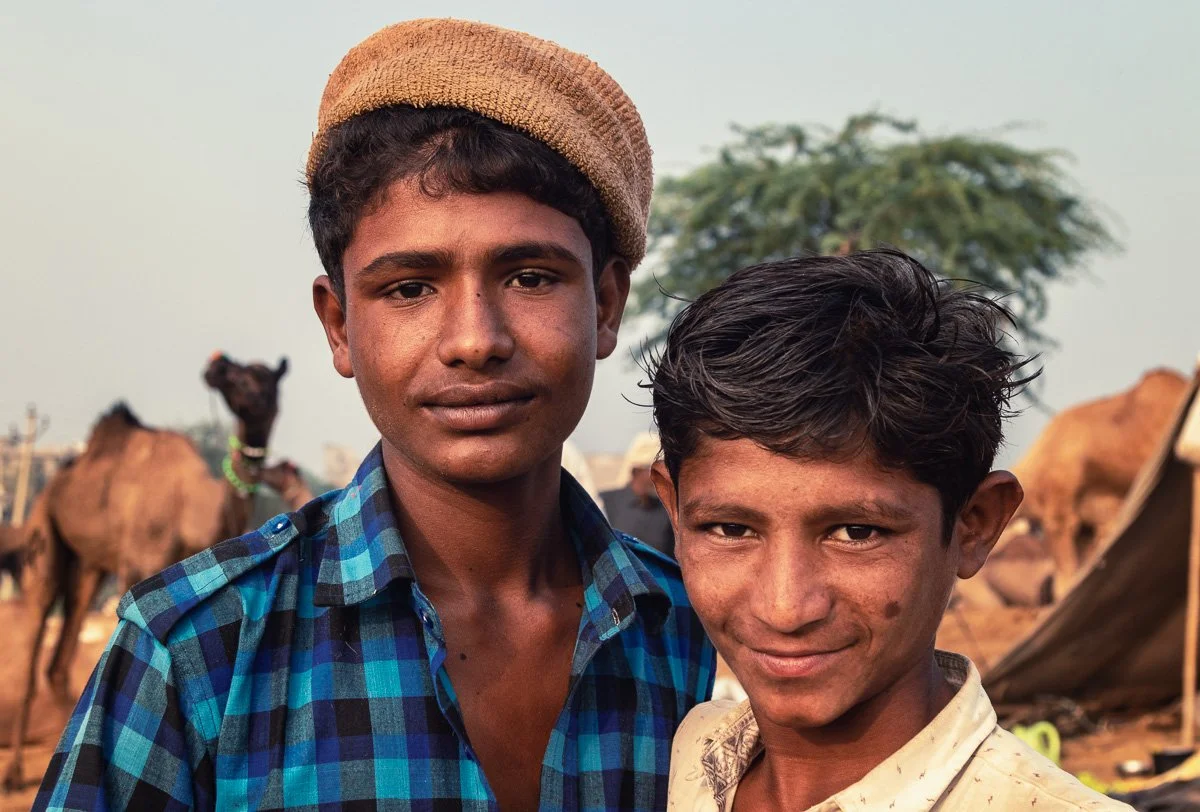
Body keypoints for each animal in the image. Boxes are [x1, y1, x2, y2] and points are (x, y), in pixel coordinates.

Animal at [2, 352, 287, 792]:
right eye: (237, 372)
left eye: (256, 379)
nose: (217, 366)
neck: (192, 511)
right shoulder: (137, 564)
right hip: (44, 529)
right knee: (37, 633)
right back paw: (15, 772)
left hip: (89, 565)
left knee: (62, 654)